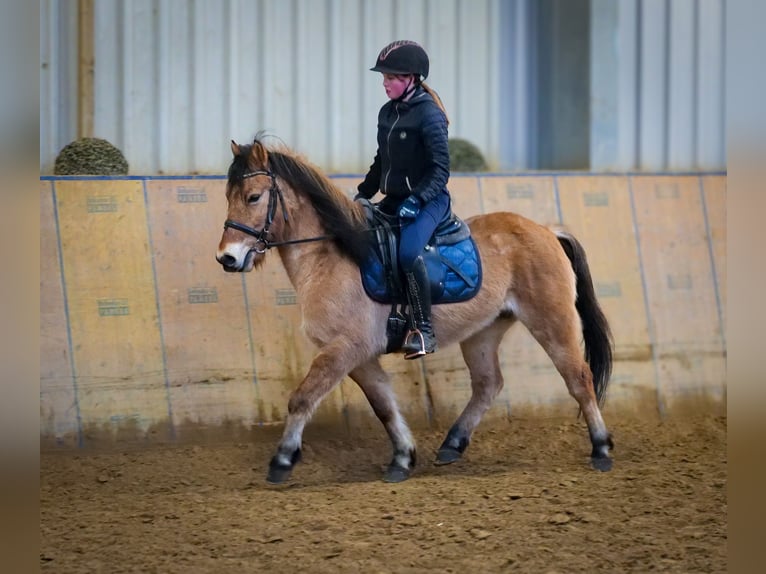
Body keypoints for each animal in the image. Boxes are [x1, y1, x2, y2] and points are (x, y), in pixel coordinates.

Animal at [216, 138, 616, 486]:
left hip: (552, 321)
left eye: (253, 197)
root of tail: (547, 230)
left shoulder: (345, 349)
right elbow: (384, 406)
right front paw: (403, 457)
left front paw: (282, 460)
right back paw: (452, 444)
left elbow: (303, 397)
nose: (227, 258)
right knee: (488, 384)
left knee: (578, 378)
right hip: (483, 332)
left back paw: (601, 449)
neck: (331, 258)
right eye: (228, 197)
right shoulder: (359, 356)